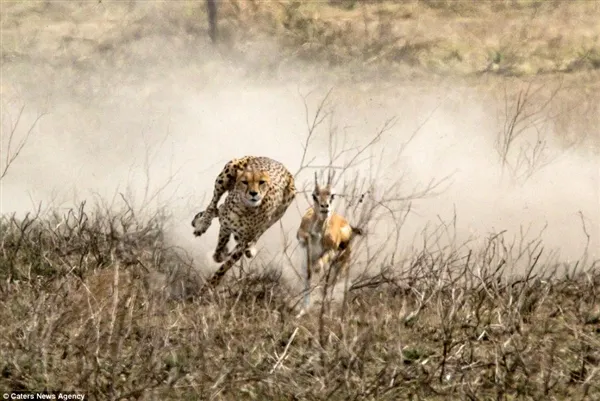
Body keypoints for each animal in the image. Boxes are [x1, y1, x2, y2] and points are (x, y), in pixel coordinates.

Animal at [192, 155, 296, 286]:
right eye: (245, 182)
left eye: (261, 182)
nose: (253, 193)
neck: (245, 209)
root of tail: (275, 161)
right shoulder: (226, 226)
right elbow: (219, 249)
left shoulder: (242, 242)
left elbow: (224, 266)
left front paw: (211, 284)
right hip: (227, 172)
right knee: (214, 204)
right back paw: (202, 224)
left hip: (281, 209)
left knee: (261, 229)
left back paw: (250, 249)